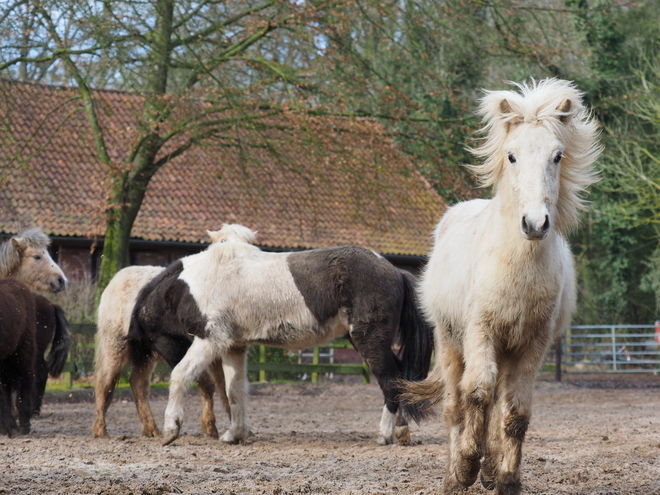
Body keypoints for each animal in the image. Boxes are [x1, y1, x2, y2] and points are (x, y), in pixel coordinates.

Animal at [404, 79, 600, 494]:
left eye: (557, 156)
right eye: (511, 156)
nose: (535, 223)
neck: (516, 267)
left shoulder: (532, 345)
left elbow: (516, 413)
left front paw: (507, 478)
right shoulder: (480, 332)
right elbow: (477, 394)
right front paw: (466, 467)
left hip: (506, 351)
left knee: (499, 404)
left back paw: (491, 468)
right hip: (450, 342)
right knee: (456, 404)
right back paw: (454, 475)